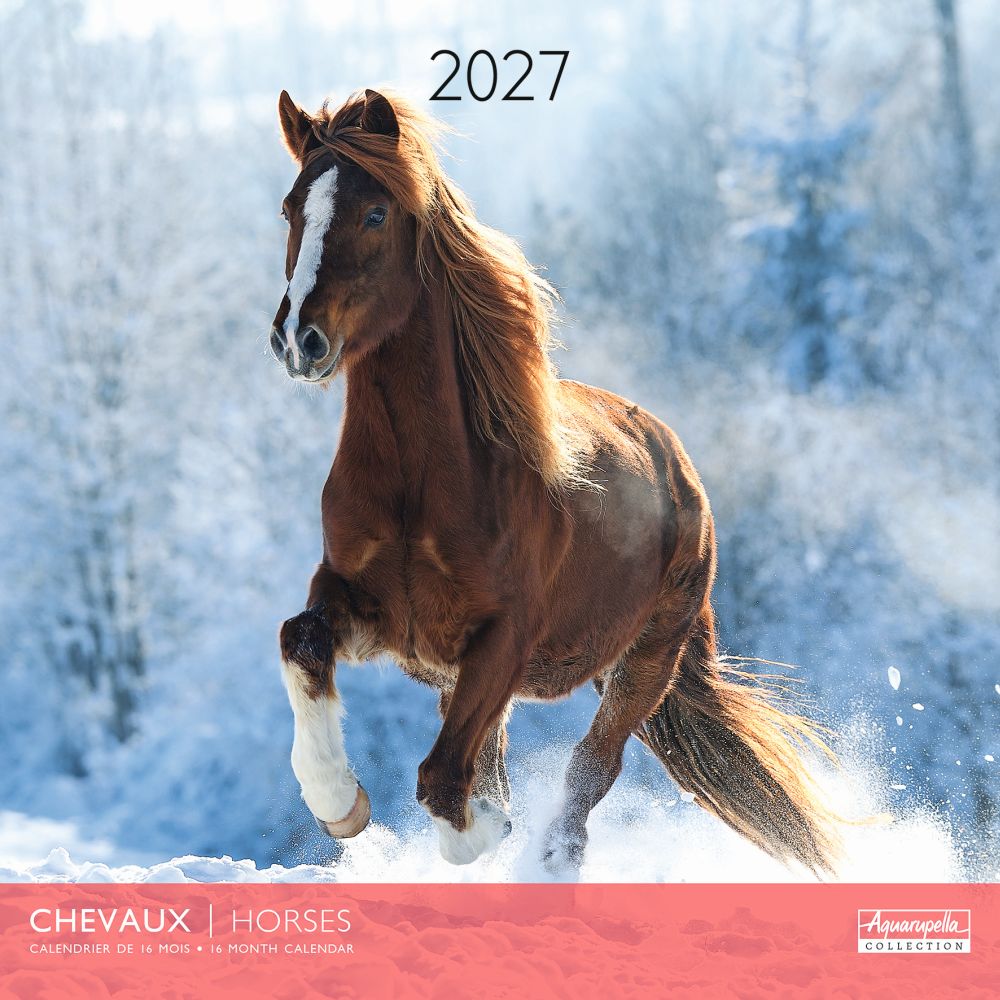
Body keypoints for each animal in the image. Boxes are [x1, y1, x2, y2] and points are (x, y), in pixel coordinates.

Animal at [269, 88, 840, 875]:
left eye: (376, 214)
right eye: (291, 208)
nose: (299, 338)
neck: (420, 485)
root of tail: (677, 463)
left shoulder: (503, 639)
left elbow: (445, 780)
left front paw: (482, 833)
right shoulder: (368, 606)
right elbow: (300, 640)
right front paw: (340, 804)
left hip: (647, 660)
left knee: (589, 770)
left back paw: (547, 860)